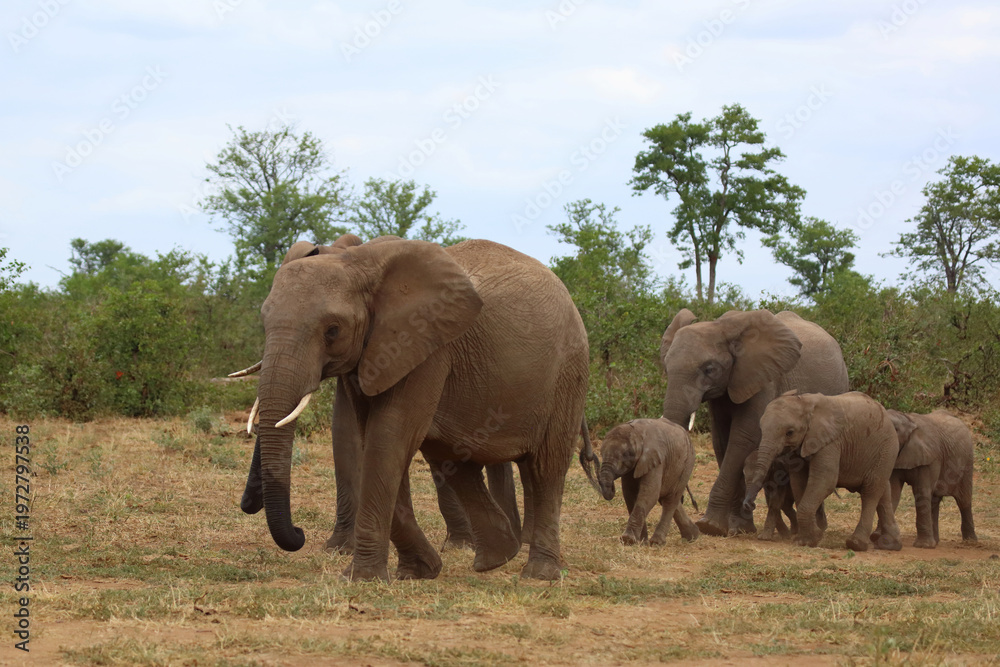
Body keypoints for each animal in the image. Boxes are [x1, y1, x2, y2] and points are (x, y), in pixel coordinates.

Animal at [236, 236, 592, 581]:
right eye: (264, 322)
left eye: (332, 329)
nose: (299, 533)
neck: (360, 263)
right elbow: (371, 440)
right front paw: (418, 572)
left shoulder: (425, 347)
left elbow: (388, 438)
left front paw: (361, 579)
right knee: (455, 459)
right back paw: (495, 558)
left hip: (567, 373)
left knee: (545, 466)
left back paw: (538, 574)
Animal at [660, 308, 848, 537]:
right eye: (666, 367)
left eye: (709, 369)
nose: (690, 503)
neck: (721, 326)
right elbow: (721, 441)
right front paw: (738, 528)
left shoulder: (763, 378)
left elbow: (743, 438)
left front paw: (710, 526)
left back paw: (819, 527)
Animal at [744, 391, 902, 552]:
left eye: (790, 432)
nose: (750, 505)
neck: (805, 402)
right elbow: (799, 482)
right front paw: (804, 539)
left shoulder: (830, 441)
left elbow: (825, 480)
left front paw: (812, 539)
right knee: (883, 490)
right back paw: (890, 544)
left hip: (886, 449)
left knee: (871, 491)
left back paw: (856, 544)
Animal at [878, 409, 977, 548]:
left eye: (892, 431)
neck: (908, 421)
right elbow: (893, 493)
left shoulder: (930, 457)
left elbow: (921, 492)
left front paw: (923, 546)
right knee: (934, 501)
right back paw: (936, 542)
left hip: (967, 462)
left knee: (964, 500)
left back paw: (971, 542)